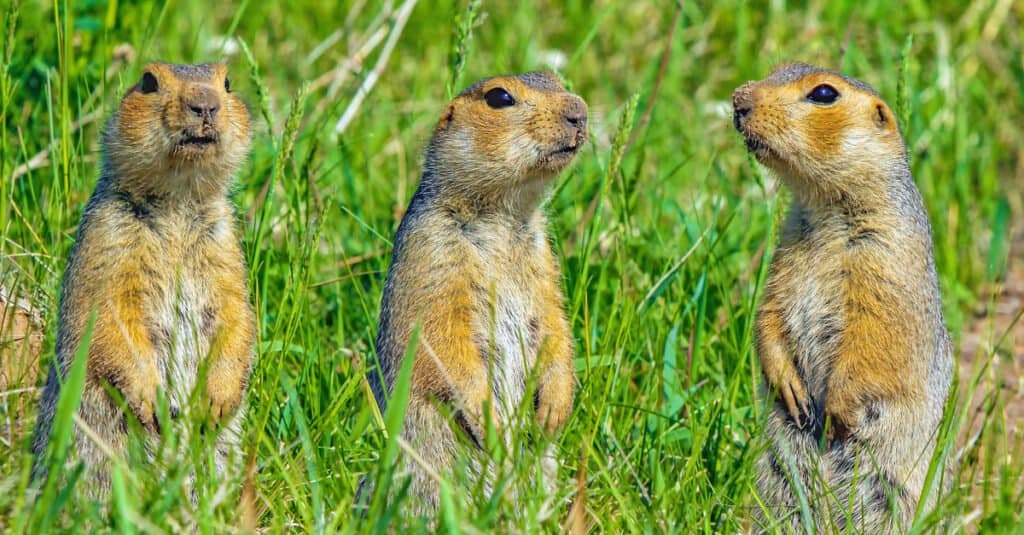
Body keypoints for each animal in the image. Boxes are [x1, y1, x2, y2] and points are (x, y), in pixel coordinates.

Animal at [30, 61, 254, 491]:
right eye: (149, 82)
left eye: (228, 82)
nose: (205, 105)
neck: (178, 201)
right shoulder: (109, 239)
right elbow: (108, 314)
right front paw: (152, 401)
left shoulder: (224, 247)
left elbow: (236, 314)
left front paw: (217, 400)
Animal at [364, 71, 585, 512]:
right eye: (499, 97)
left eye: (555, 79)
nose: (580, 112)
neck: (503, 214)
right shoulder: (433, 255)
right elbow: (442, 340)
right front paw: (494, 430)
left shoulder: (543, 265)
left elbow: (555, 325)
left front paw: (554, 410)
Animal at [733, 62, 954, 528]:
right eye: (777, 69)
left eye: (823, 93)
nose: (738, 98)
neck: (826, 211)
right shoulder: (784, 255)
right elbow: (769, 314)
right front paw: (789, 387)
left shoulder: (887, 262)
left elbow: (873, 338)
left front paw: (834, 410)